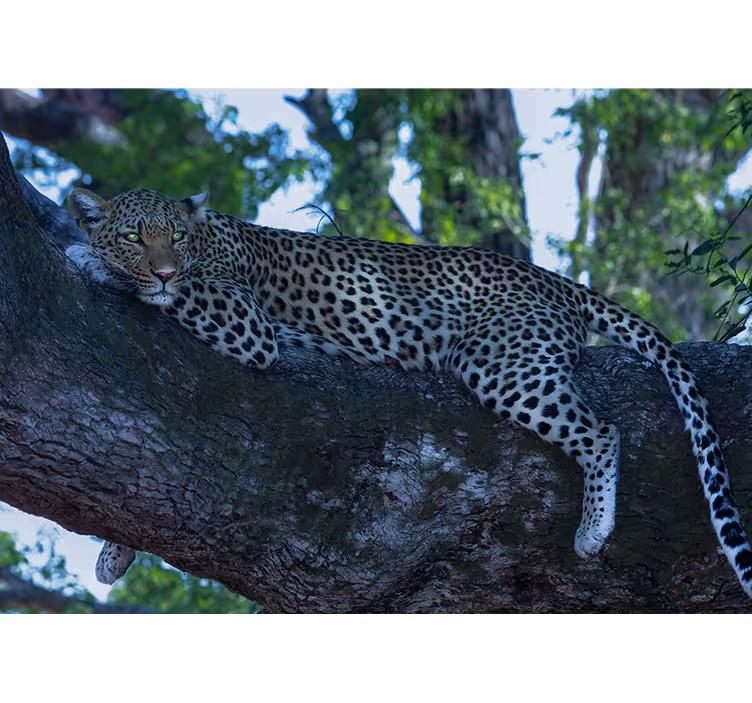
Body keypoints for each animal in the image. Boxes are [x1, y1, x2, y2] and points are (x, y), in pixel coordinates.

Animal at [67, 187, 752, 599]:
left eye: (174, 238)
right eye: (135, 235)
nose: (162, 268)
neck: (207, 239)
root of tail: (557, 280)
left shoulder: (245, 321)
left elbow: (181, 292)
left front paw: (86, 258)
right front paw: (115, 554)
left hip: (499, 361)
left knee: (603, 430)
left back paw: (592, 530)